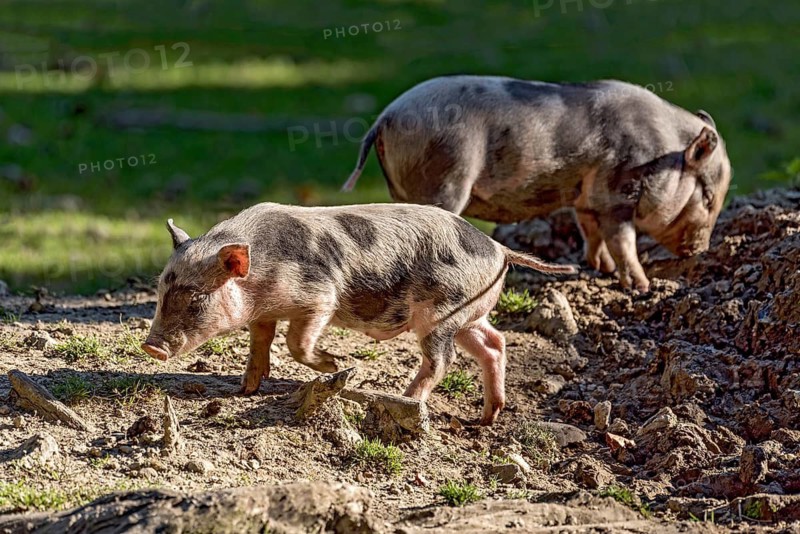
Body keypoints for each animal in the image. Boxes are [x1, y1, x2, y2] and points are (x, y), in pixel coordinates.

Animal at [141, 203, 577, 425]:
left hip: (442, 313)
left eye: (197, 298)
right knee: (494, 343)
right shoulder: (265, 311)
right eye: (161, 292)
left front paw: (336, 363)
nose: (152, 347)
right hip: (468, 315)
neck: (260, 279)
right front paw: (245, 388)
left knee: (442, 360)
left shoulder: (320, 297)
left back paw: (405, 399)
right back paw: (488, 416)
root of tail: (499, 249)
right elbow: (260, 340)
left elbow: (297, 342)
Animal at [341, 76, 732, 292]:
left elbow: (591, 233)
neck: (661, 150)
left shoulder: (585, 198)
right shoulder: (619, 190)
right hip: (445, 181)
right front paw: (643, 287)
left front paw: (599, 269)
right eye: (708, 197)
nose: (700, 250)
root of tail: (386, 116)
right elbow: (623, 240)